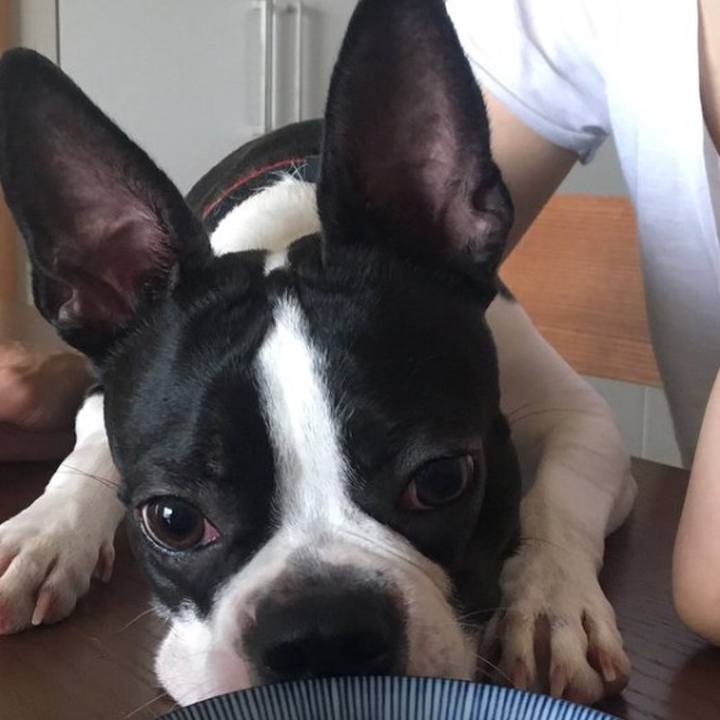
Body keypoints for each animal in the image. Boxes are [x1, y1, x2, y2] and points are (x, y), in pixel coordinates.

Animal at [0, 0, 636, 707]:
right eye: (171, 519)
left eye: (443, 479)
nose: (322, 631)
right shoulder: (97, 401)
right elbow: (86, 462)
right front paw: (43, 533)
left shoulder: (579, 417)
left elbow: (558, 496)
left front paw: (552, 606)